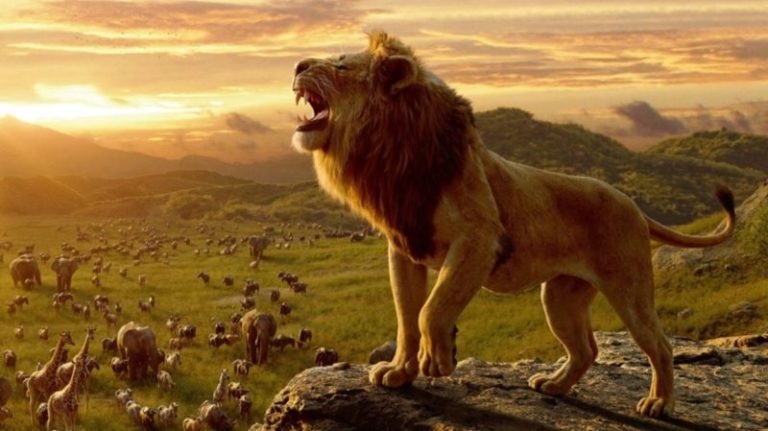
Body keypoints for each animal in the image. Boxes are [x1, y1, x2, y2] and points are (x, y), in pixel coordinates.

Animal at [290, 31, 735, 418]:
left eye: (340, 65)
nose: (297, 64)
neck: (390, 153)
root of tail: (634, 206)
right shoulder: (404, 247)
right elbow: (406, 318)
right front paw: (399, 373)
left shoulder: (480, 238)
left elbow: (431, 310)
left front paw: (438, 361)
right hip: (560, 297)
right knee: (586, 349)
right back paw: (553, 386)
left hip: (629, 290)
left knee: (659, 345)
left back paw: (658, 403)